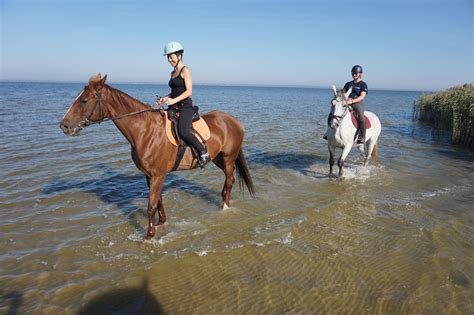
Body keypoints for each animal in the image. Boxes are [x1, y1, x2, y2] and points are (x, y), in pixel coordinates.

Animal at [60, 74, 256, 242]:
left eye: (84, 100)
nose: (64, 126)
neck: (145, 130)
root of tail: (234, 121)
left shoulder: (157, 176)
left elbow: (151, 206)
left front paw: (149, 236)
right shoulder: (150, 176)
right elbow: (158, 201)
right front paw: (161, 223)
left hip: (229, 157)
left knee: (229, 180)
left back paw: (225, 207)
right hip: (217, 158)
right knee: (227, 179)